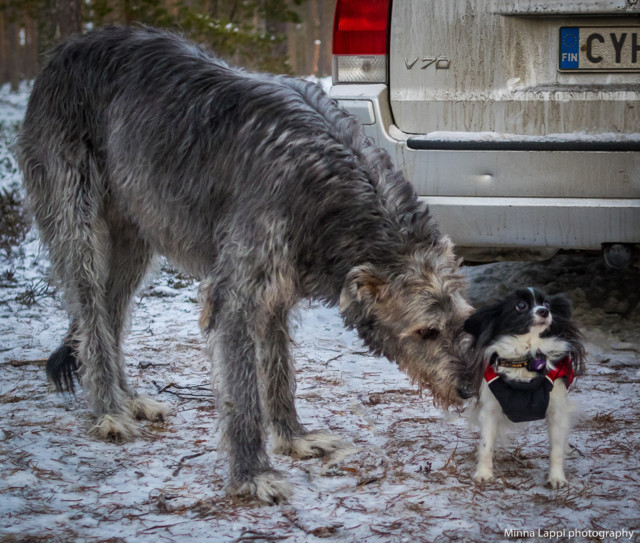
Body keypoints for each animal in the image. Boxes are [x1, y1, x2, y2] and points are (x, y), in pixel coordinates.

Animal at [18, 24, 480, 502]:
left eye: (464, 322)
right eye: (425, 331)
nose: (469, 388)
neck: (323, 182)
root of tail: (67, 48)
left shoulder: (278, 288)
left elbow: (277, 369)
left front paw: (295, 438)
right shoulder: (236, 292)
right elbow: (242, 392)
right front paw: (253, 474)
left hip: (136, 231)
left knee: (112, 309)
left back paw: (128, 399)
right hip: (77, 216)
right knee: (90, 308)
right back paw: (109, 411)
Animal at [464, 288, 584, 488]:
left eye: (547, 304)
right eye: (521, 306)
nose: (544, 311)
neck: (526, 360)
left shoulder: (557, 411)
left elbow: (556, 449)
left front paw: (556, 478)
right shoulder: (490, 410)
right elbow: (486, 445)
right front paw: (483, 474)